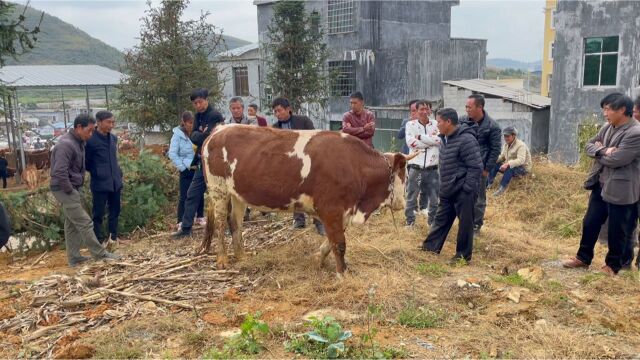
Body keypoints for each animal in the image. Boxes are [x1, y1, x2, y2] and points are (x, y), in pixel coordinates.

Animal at [202, 124, 418, 276]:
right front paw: (343, 273)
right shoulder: (332, 209)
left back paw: (241, 255)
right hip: (218, 189)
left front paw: (318, 259)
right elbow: (339, 244)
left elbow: (331, 241)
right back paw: (222, 259)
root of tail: (218, 130)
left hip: (237, 194)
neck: (355, 164)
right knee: (221, 223)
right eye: (405, 176)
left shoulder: (342, 212)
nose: (401, 203)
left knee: (235, 222)